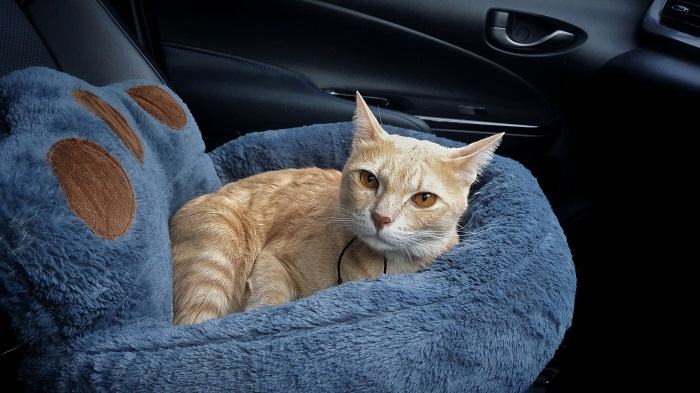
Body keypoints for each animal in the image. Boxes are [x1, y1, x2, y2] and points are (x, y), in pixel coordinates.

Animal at [172, 92, 506, 324]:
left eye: (424, 199)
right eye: (369, 179)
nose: (381, 217)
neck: (384, 266)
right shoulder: (272, 260)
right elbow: (270, 301)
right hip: (215, 260)